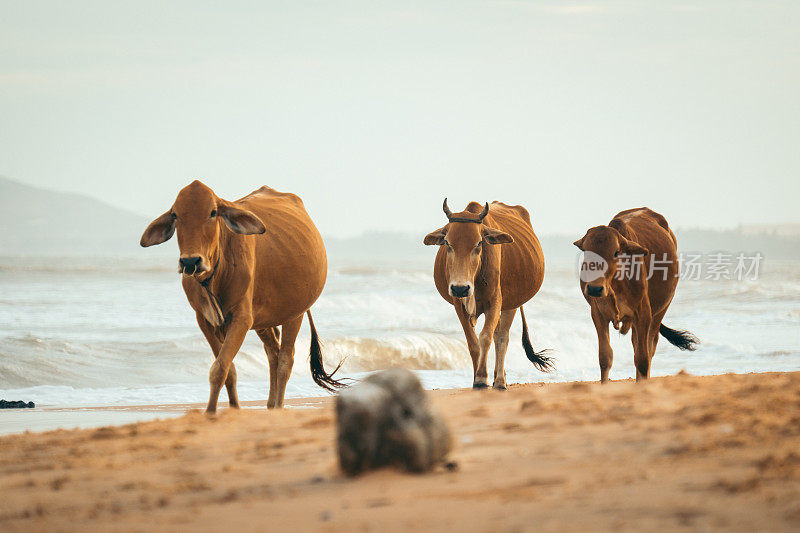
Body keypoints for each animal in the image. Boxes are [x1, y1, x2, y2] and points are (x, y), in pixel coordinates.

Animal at [140, 180, 344, 412]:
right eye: (175, 215)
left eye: (213, 212)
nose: (190, 262)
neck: (215, 275)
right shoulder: (204, 320)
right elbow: (228, 369)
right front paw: (233, 409)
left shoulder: (242, 319)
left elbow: (219, 367)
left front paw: (210, 413)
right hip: (264, 321)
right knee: (272, 353)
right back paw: (270, 404)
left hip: (295, 313)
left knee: (285, 360)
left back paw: (279, 406)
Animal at [424, 197, 552, 388]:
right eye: (447, 243)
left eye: (479, 243)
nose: (460, 287)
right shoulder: (459, 304)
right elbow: (473, 343)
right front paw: (476, 377)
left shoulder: (495, 302)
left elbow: (486, 337)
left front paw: (482, 377)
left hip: (511, 303)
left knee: (502, 337)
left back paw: (499, 380)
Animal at [572, 205, 696, 382]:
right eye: (586, 251)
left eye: (616, 252)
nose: (595, 289)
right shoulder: (598, 314)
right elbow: (605, 357)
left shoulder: (643, 314)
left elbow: (643, 359)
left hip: (660, 311)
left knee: (649, 349)